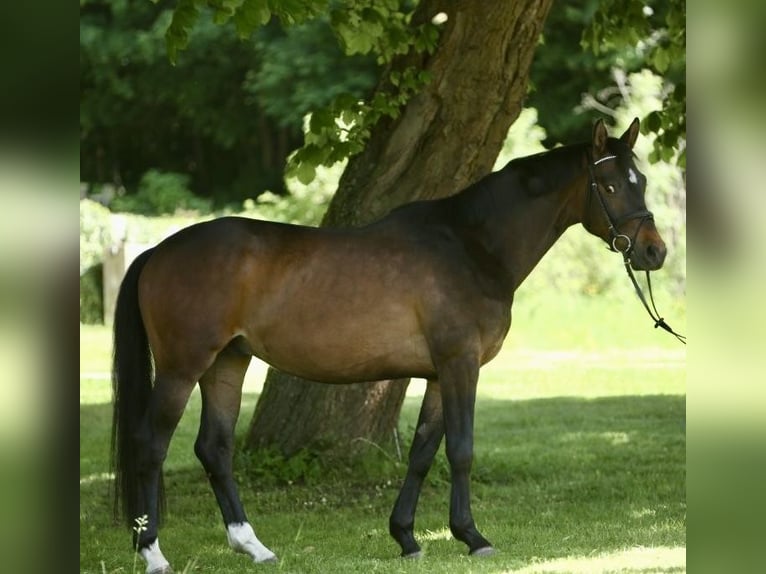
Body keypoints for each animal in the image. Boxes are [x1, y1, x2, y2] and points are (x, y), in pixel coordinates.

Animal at [111, 118, 667, 572]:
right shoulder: (461, 364)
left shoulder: (439, 374)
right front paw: (473, 537)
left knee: (215, 448)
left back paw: (254, 547)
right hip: (183, 367)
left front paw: (407, 538)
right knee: (150, 444)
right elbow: (461, 450)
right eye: (610, 185)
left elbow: (423, 452)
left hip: (227, 363)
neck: (470, 244)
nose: (653, 252)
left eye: (641, 182)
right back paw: (153, 553)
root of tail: (158, 250)